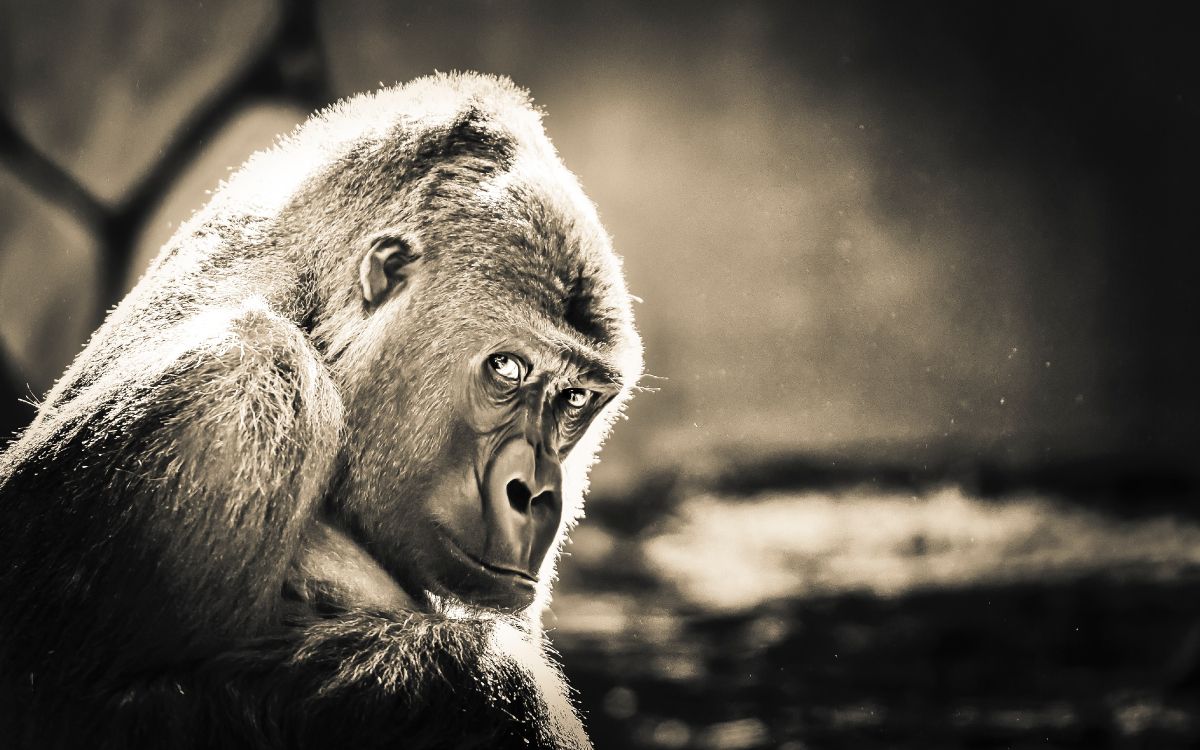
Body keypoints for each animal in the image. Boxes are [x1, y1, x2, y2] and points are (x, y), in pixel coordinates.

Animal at [0, 72, 643, 749]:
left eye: (576, 399)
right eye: (508, 369)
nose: (535, 492)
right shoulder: (240, 388)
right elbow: (76, 704)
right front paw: (486, 687)